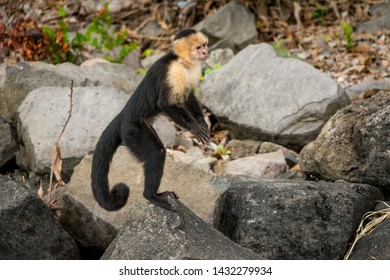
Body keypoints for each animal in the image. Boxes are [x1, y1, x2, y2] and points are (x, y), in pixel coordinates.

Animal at [92, 29, 210, 212]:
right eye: (198, 47)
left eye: (204, 45)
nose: (205, 52)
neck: (182, 62)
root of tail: (123, 114)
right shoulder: (172, 73)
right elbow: (166, 104)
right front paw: (195, 128)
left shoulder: (193, 71)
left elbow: (189, 96)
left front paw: (201, 123)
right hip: (132, 131)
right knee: (156, 152)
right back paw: (151, 196)